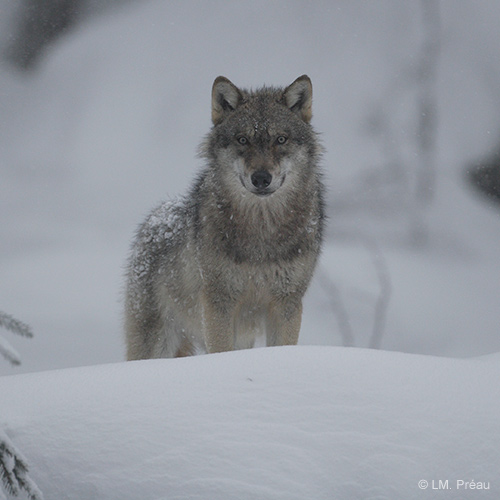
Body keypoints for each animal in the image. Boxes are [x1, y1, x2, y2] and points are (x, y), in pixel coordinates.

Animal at [125, 74, 324, 360]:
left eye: (280, 139)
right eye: (242, 140)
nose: (261, 178)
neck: (261, 232)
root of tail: (154, 219)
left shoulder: (287, 302)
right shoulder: (219, 302)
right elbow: (219, 349)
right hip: (158, 341)